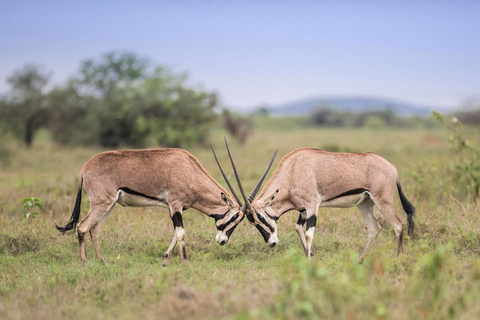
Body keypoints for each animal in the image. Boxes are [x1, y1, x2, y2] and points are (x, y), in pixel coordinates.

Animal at [55, 148, 274, 264]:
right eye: (236, 217)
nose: (222, 241)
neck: (191, 171)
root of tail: (84, 169)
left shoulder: (173, 208)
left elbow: (175, 233)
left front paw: (166, 257)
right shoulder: (175, 205)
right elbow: (181, 233)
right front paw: (184, 261)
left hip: (108, 206)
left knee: (95, 230)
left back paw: (102, 261)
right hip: (101, 204)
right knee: (83, 227)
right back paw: (85, 263)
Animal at [223, 145, 414, 262]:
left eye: (261, 218)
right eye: (252, 222)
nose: (271, 243)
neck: (293, 170)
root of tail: (393, 168)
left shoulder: (312, 206)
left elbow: (309, 235)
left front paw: (308, 262)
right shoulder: (302, 209)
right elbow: (298, 228)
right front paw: (309, 255)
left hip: (383, 201)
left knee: (398, 225)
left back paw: (398, 258)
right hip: (365, 204)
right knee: (374, 228)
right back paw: (359, 260)